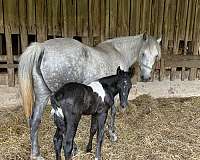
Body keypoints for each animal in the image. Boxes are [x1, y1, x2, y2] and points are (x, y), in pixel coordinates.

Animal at [18, 33, 161, 159]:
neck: (119, 52)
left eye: (156, 55)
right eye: (143, 53)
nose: (146, 77)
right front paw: (112, 134)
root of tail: (41, 47)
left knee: (35, 121)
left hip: (42, 95)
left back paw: (36, 154)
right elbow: (113, 113)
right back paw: (72, 149)